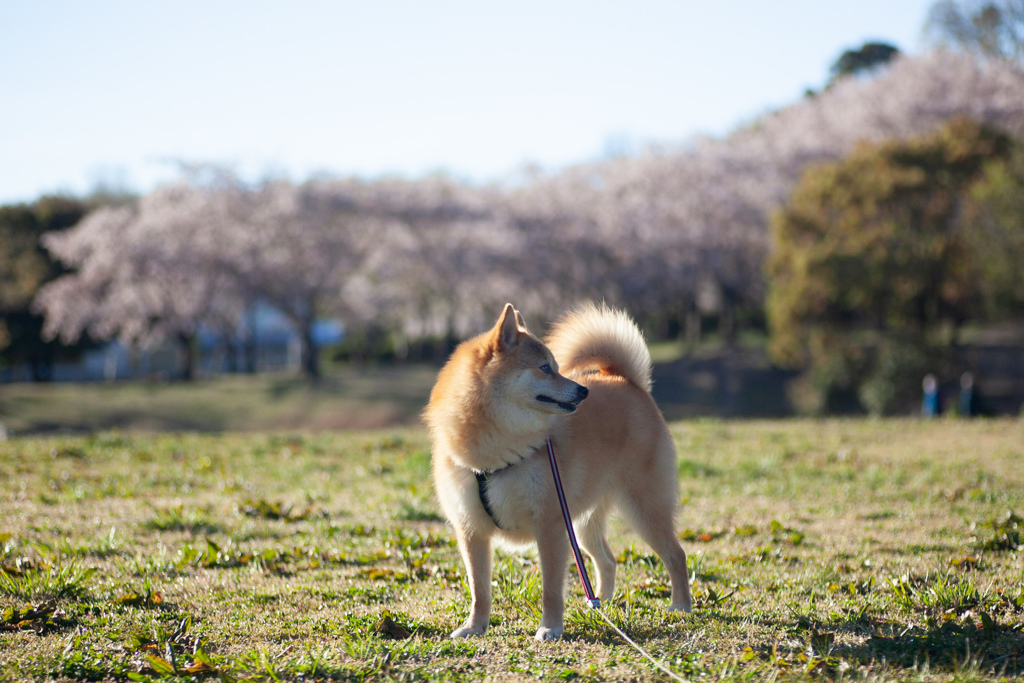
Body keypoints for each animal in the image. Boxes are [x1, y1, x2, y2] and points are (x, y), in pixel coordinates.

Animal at [419, 303, 692, 643]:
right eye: (544, 368)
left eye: (556, 367)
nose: (583, 390)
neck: (491, 454)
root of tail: (626, 380)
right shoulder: (472, 530)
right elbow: (479, 590)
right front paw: (475, 627)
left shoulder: (549, 525)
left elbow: (550, 589)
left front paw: (550, 627)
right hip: (583, 524)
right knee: (608, 561)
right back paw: (601, 604)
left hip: (644, 509)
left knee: (677, 556)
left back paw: (681, 607)